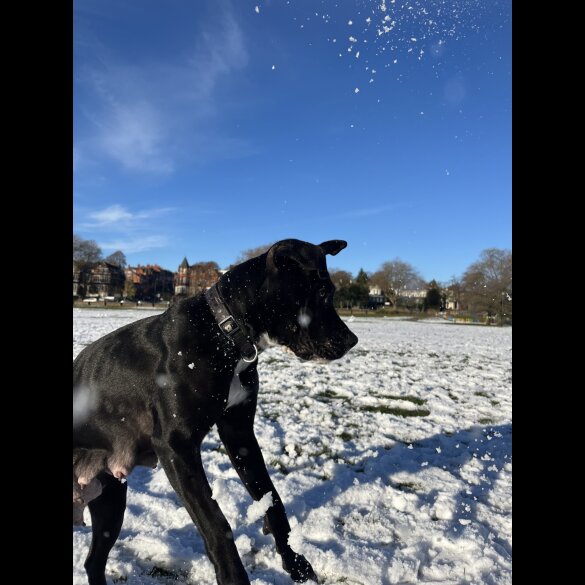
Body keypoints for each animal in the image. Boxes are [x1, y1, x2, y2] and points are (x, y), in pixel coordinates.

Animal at [73, 238, 356, 584]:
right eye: (323, 292)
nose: (352, 340)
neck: (224, 334)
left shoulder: (240, 434)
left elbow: (273, 501)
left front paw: (294, 562)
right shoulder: (176, 447)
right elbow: (215, 523)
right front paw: (234, 576)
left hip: (110, 500)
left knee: (93, 561)